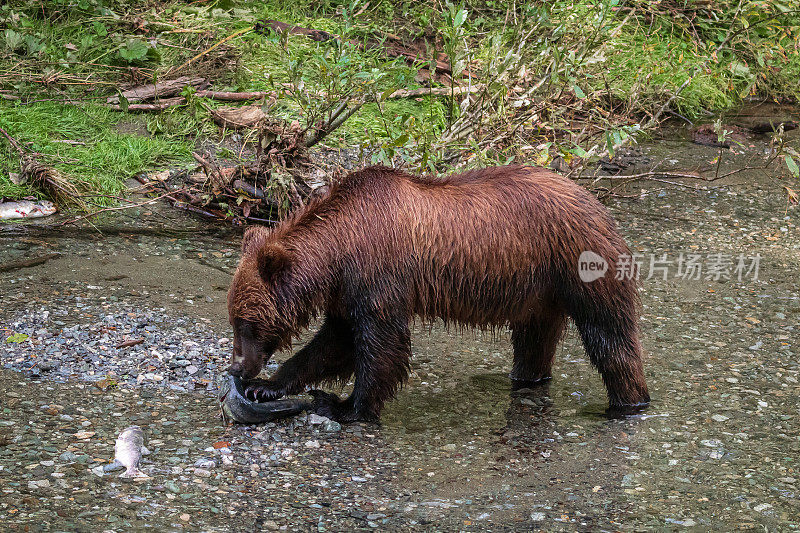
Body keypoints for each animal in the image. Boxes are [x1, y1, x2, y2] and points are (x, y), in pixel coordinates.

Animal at [227, 164, 648, 422]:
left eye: (247, 323)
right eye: (235, 320)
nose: (238, 369)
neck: (337, 248)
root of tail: (595, 201)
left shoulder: (378, 274)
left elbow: (381, 345)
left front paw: (346, 406)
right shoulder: (347, 291)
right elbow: (335, 343)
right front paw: (268, 387)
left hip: (579, 263)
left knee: (609, 336)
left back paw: (628, 402)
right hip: (539, 291)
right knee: (534, 341)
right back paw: (525, 379)